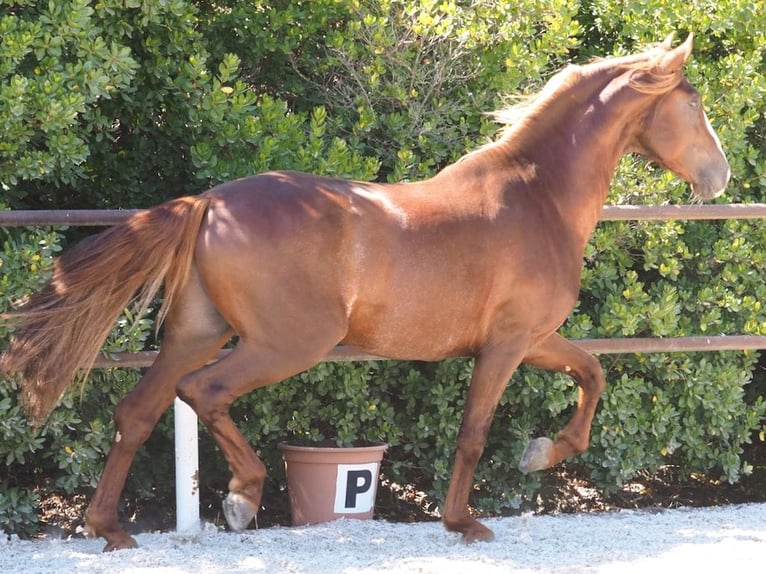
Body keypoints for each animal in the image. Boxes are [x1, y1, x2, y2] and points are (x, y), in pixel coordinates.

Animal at [0, 32, 732, 552]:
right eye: (694, 104)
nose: (720, 175)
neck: (537, 196)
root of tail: (210, 203)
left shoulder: (535, 338)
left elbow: (593, 372)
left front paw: (541, 452)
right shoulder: (506, 344)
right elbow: (474, 431)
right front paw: (464, 522)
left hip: (196, 331)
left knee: (139, 410)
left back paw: (110, 529)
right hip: (286, 343)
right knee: (202, 392)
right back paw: (240, 498)